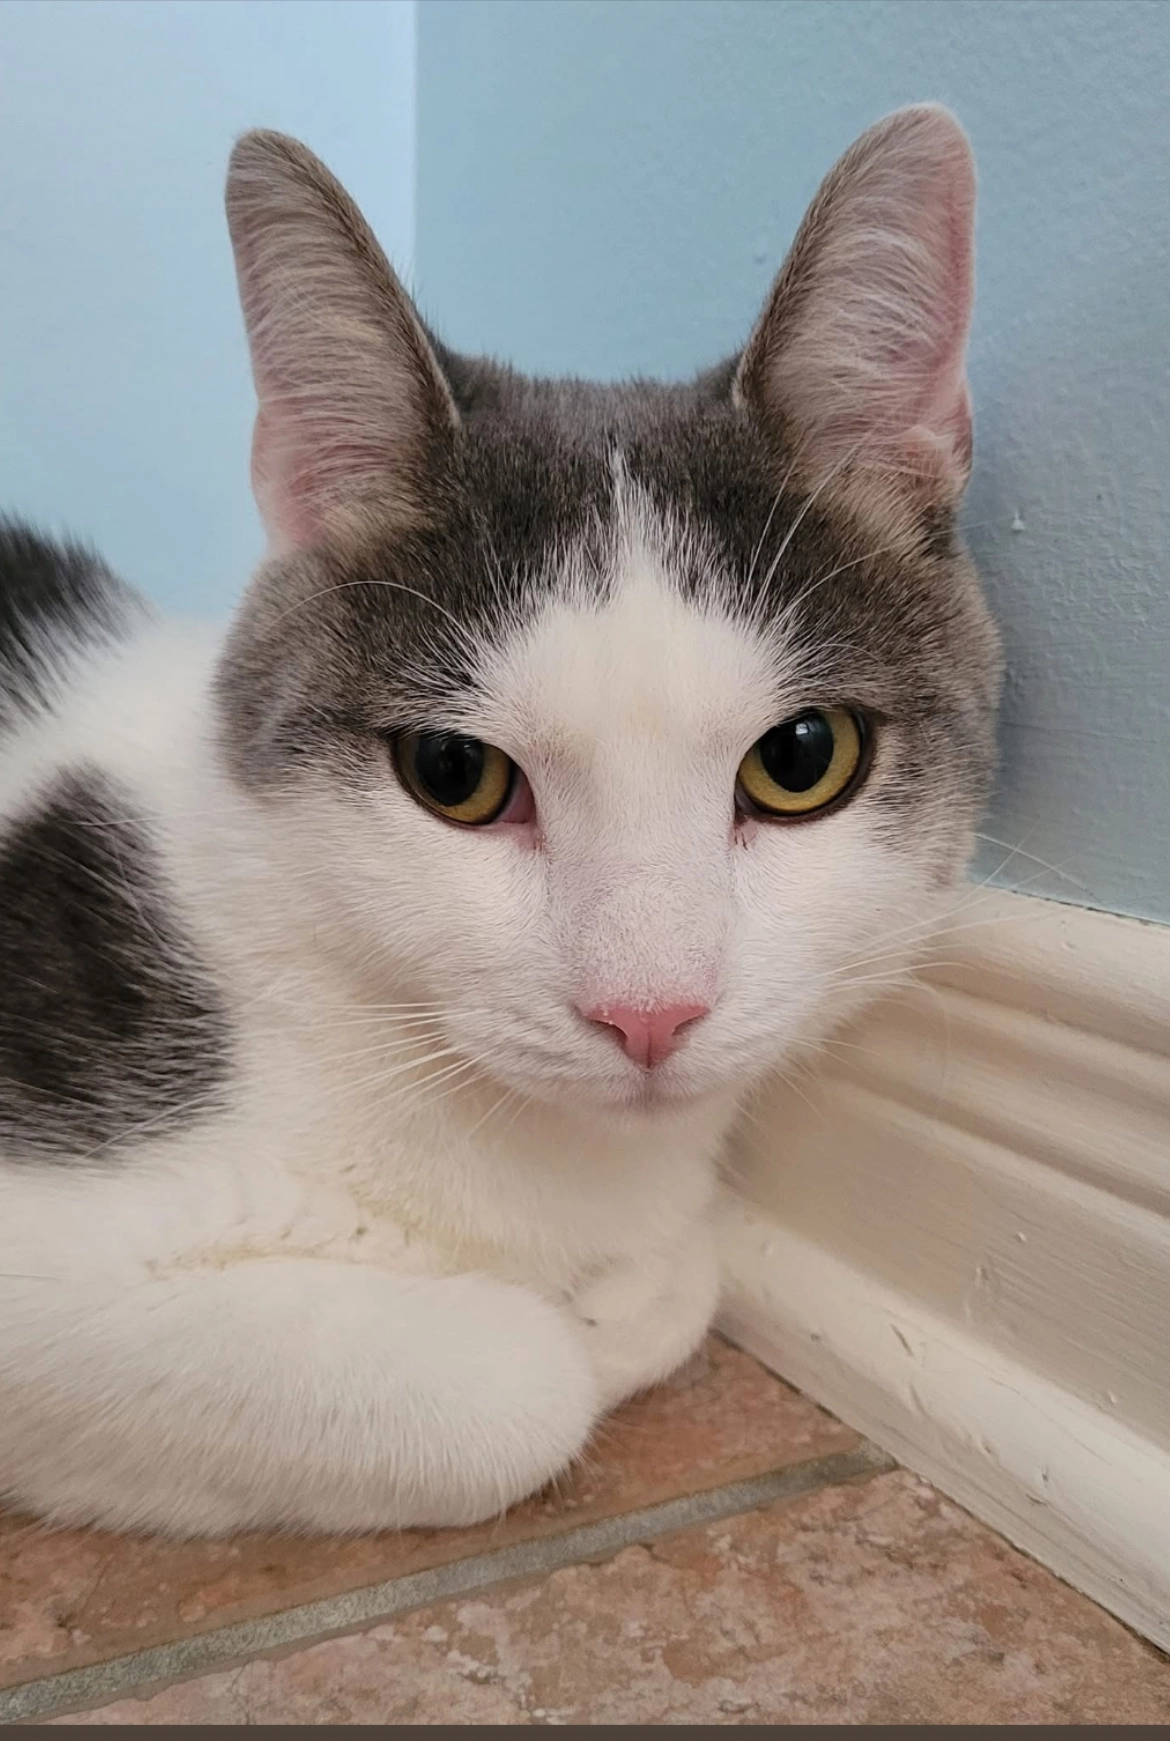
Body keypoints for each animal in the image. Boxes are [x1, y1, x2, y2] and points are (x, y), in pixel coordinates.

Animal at [0, 104, 1000, 1537]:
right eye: (455, 772)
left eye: (803, 759)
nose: (651, 1012)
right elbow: (519, 1383)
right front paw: (575, 1320)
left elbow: (678, 1280)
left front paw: (631, 1285)